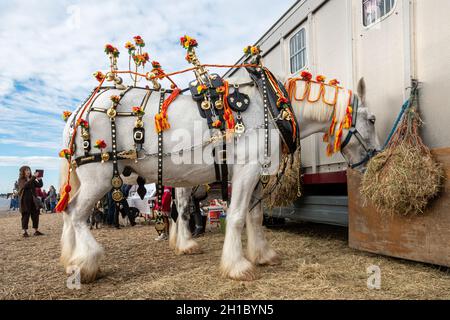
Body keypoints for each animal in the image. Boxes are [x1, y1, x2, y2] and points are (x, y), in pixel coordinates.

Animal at [59, 71, 376, 282]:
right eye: (372, 119)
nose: (372, 158)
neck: (272, 108)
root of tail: (78, 113)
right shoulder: (246, 170)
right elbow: (235, 217)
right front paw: (238, 266)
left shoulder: (256, 174)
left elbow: (254, 217)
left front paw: (263, 255)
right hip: (99, 177)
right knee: (75, 214)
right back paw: (86, 263)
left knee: (68, 213)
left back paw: (71, 259)